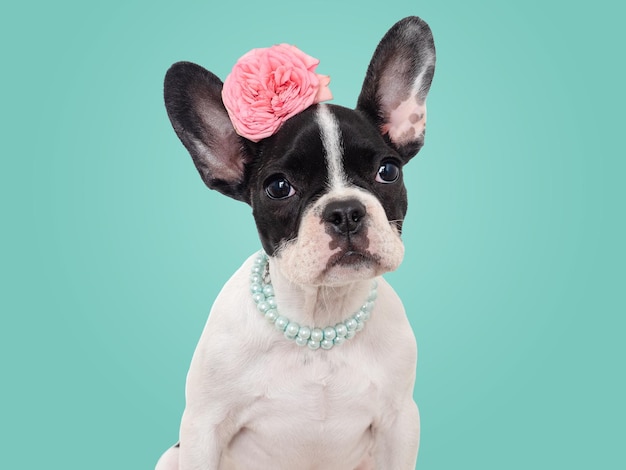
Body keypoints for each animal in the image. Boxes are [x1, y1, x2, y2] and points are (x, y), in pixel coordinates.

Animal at [157, 15, 434, 470]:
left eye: (388, 171)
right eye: (278, 187)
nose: (345, 211)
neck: (318, 316)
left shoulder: (400, 423)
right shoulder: (203, 427)